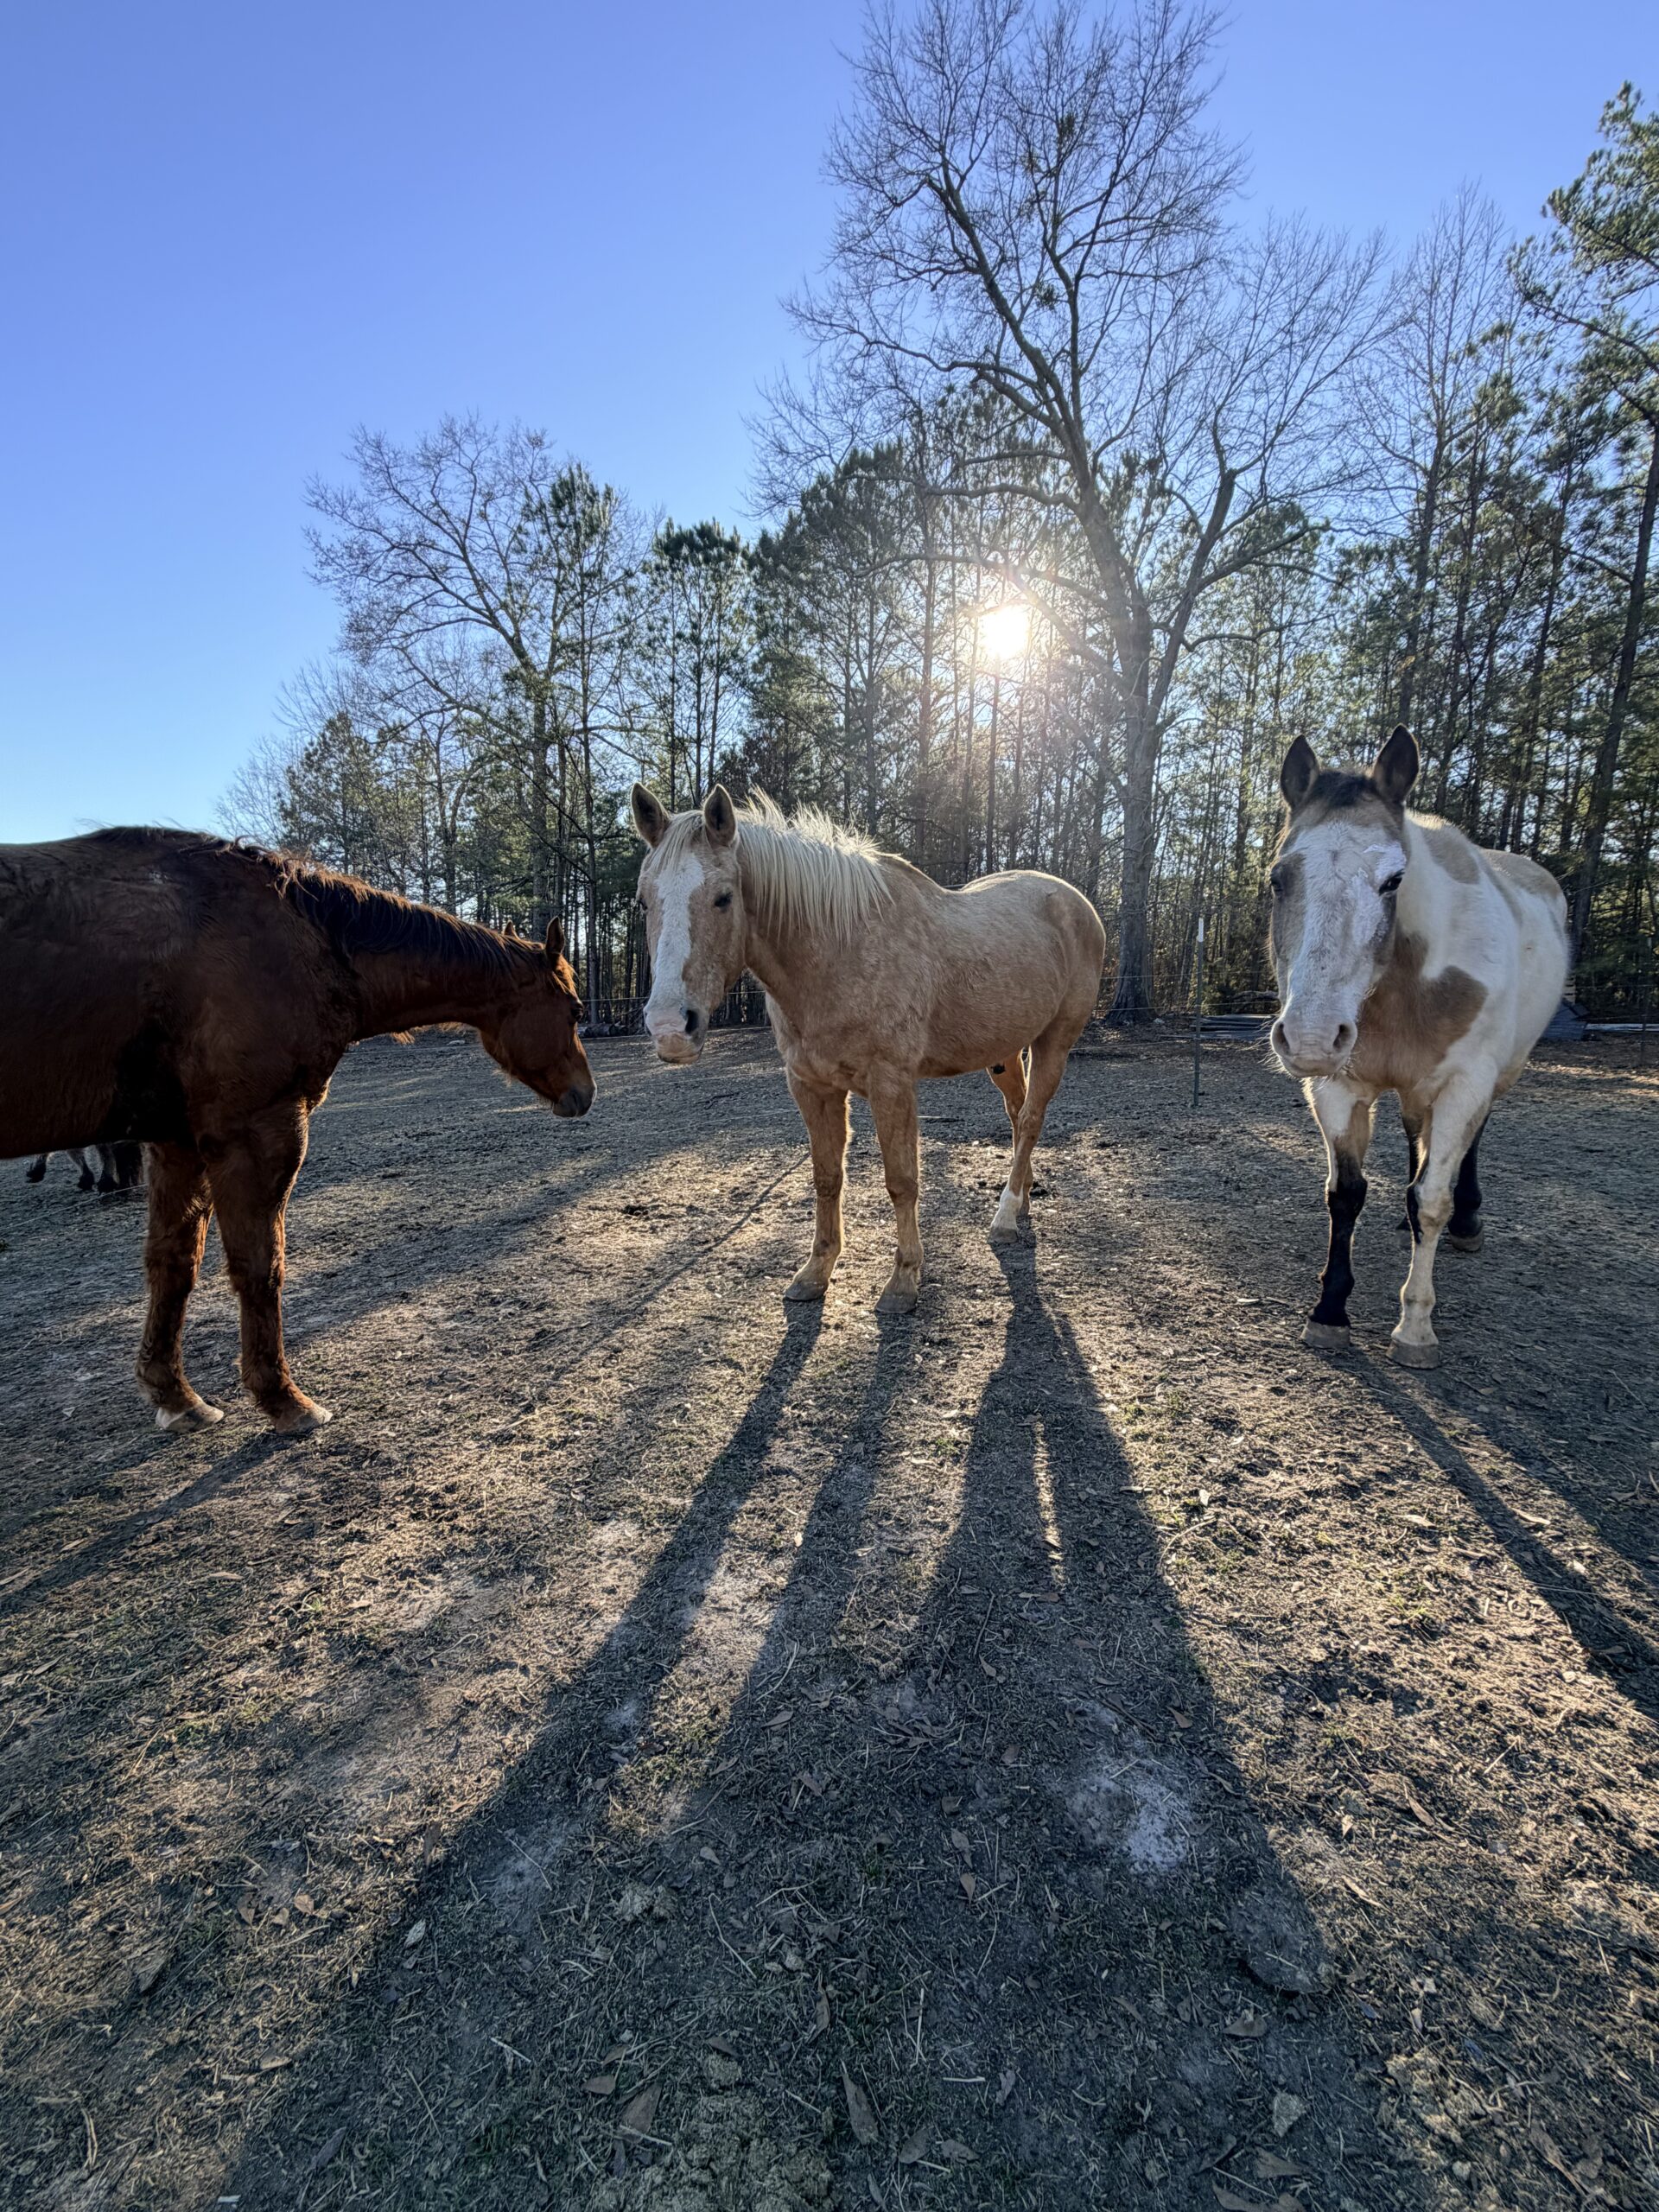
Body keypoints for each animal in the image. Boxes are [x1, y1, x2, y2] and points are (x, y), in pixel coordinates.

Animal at [1, 828, 594, 1432]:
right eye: (573, 1009)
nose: (585, 1093)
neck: (304, 943)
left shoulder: (177, 1144)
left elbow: (173, 1266)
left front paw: (175, 1395)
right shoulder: (258, 1133)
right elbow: (260, 1268)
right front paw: (283, 1399)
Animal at [630, 785, 1107, 1313]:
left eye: (723, 898)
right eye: (643, 902)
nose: (671, 1028)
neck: (838, 952)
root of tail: (1076, 902)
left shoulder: (891, 1084)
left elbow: (901, 1181)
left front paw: (904, 1280)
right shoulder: (811, 1086)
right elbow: (826, 1177)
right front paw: (814, 1273)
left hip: (1054, 1042)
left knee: (1031, 1119)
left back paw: (1003, 1218)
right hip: (1005, 1054)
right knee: (1018, 1116)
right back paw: (1019, 1200)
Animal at [1269, 726, 1569, 1369]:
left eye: (1393, 881)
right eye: (1278, 879)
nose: (1309, 1036)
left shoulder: (1464, 1084)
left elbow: (1431, 1198)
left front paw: (1415, 1327)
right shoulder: (1337, 1086)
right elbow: (1346, 1195)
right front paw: (1330, 1312)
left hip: (1494, 1078)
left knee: (1460, 1154)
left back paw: (1466, 1221)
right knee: (1417, 1138)